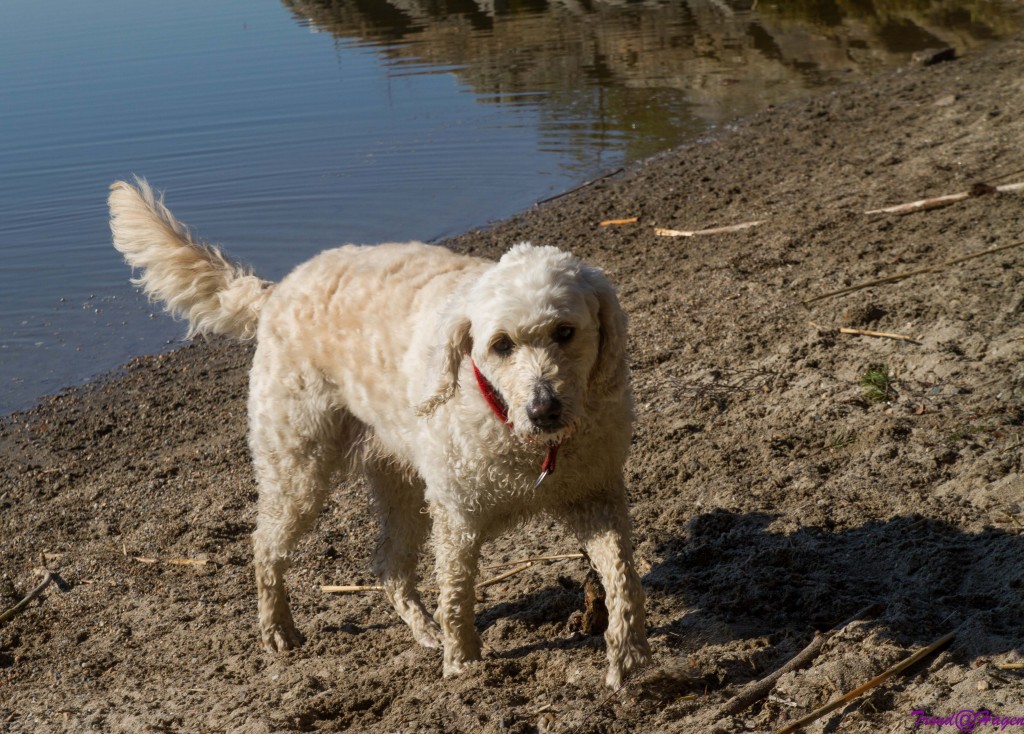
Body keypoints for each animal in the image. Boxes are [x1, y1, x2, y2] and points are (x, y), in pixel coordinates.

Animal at [105, 177, 647, 687]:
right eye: (501, 345)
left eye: (565, 332)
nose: (543, 409)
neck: (521, 437)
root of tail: (276, 292)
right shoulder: (458, 518)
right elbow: (457, 594)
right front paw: (462, 664)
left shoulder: (596, 496)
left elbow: (623, 576)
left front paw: (628, 653)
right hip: (298, 472)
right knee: (265, 549)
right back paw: (279, 630)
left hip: (399, 482)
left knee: (387, 563)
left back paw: (423, 630)